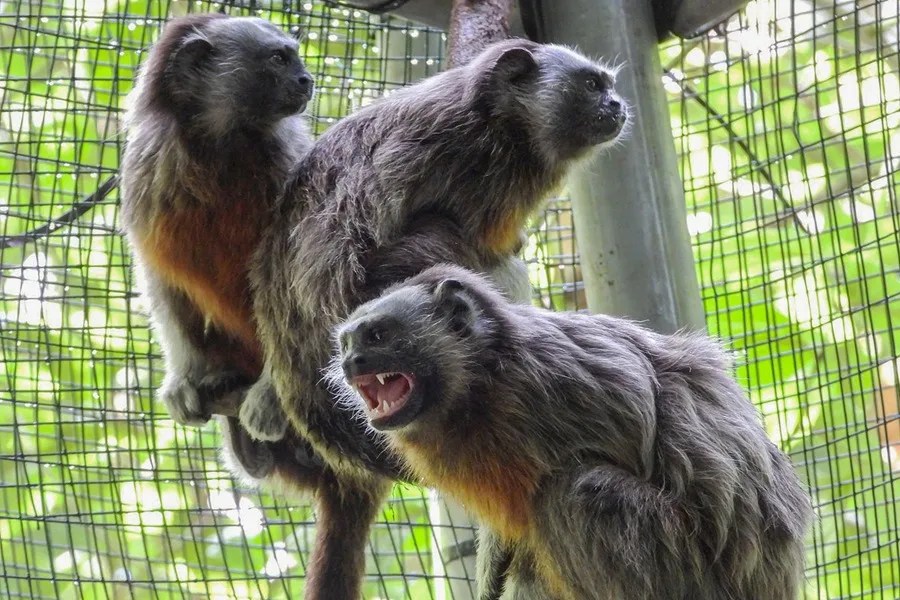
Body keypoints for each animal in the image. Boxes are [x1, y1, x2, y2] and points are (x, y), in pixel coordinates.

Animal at [328, 263, 813, 600]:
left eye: (378, 335)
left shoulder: (559, 383)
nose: (351, 363)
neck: (483, 383)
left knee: (576, 492)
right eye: (348, 344)